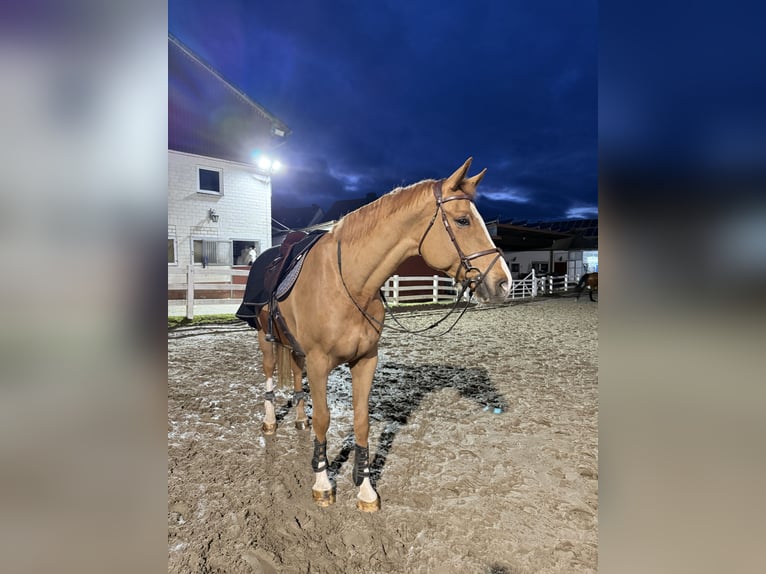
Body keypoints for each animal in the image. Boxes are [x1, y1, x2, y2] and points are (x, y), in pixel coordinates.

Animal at [245, 158, 512, 512]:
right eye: (463, 220)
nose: (504, 283)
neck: (348, 282)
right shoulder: (319, 362)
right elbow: (324, 419)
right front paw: (322, 483)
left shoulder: (365, 361)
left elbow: (361, 422)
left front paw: (365, 489)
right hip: (266, 340)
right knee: (270, 376)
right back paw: (271, 421)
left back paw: (299, 418)